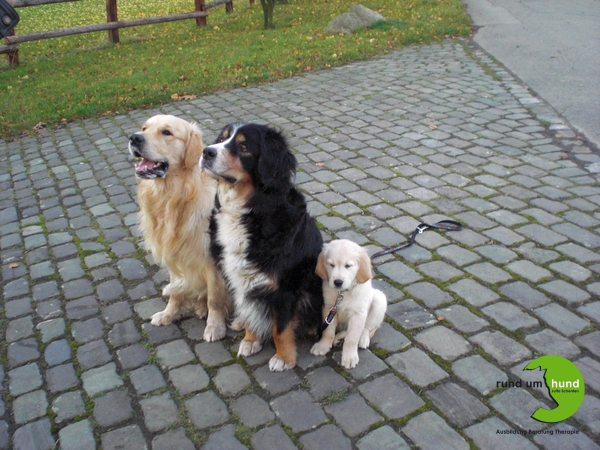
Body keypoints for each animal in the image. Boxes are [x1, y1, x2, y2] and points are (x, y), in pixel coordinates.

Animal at [129, 114, 230, 341]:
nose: (134, 138)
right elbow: (177, 290)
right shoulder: (174, 252)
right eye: (144, 128)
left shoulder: (211, 260)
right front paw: (169, 314)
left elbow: (215, 298)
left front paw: (215, 327)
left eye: (167, 132)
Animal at [200, 123, 324, 371]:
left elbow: (281, 328)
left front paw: (284, 357)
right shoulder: (238, 279)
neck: (248, 210)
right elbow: (250, 312)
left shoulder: (285, 288)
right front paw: (251, 340)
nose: (207, 151)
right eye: (221, 139)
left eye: (244, 146)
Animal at [311, 239, 387, 369]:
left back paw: (362, 339)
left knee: (367, 328)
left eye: (348, 266)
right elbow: (328, 331)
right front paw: (323, 345)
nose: (338, 282)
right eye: (331, 265)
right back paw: (338, 338)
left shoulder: (358, 314)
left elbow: (352, 338)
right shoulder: (328, 309)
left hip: (379, 300)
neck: (343, 293)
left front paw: (350, 357)